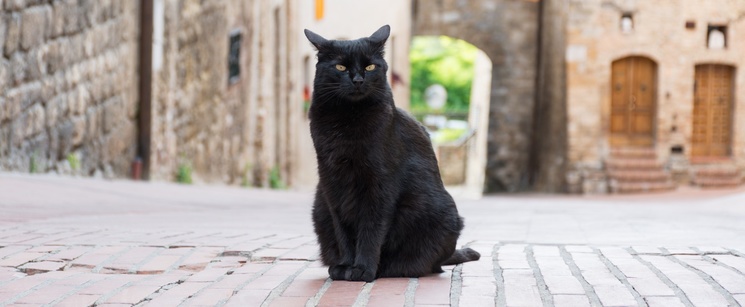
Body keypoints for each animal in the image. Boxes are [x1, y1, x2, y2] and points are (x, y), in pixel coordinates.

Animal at [306, 25, 480, 282]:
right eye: (340, 67)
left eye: (370, 67)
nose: (358, 80)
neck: (347, 119)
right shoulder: (331, 182)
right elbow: (343, 228)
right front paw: (345, 265)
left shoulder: (379, 182)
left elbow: (371, 228)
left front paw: (363, 269)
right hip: (319, 207)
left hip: (442, 215)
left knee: (429, 265)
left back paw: (391, 268)